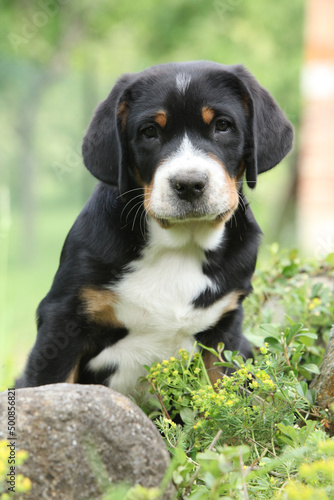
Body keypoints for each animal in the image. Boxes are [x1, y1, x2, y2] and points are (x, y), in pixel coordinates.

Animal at [16, 62, 292, 396]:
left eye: (223, 126)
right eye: (149, 132)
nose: (189, 184)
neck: (180, 246)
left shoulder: (224, 327)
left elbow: (228, 392)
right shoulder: (64, 318)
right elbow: (49, 386)